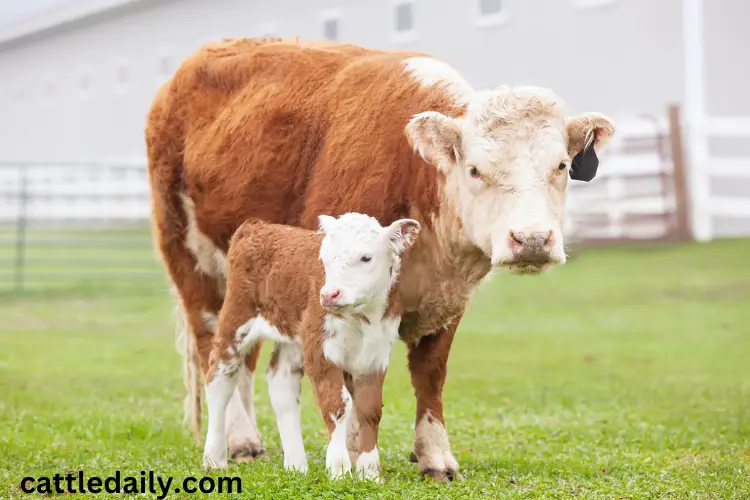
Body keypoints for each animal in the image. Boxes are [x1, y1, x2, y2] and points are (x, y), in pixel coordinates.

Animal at [203, 212, 420, 480]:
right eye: (324, 258)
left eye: (366, 257)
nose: (329, 294)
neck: (364, 317)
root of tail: (257, 225)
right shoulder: (321, 349)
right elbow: (337, 405)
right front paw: (339, 468)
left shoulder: (377, 354)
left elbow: (369, 410)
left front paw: (370, 471)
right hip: (236, 318)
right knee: (219, 380)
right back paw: (214, 458)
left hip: (292, 335)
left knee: (281, 382)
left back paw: (296, 465)